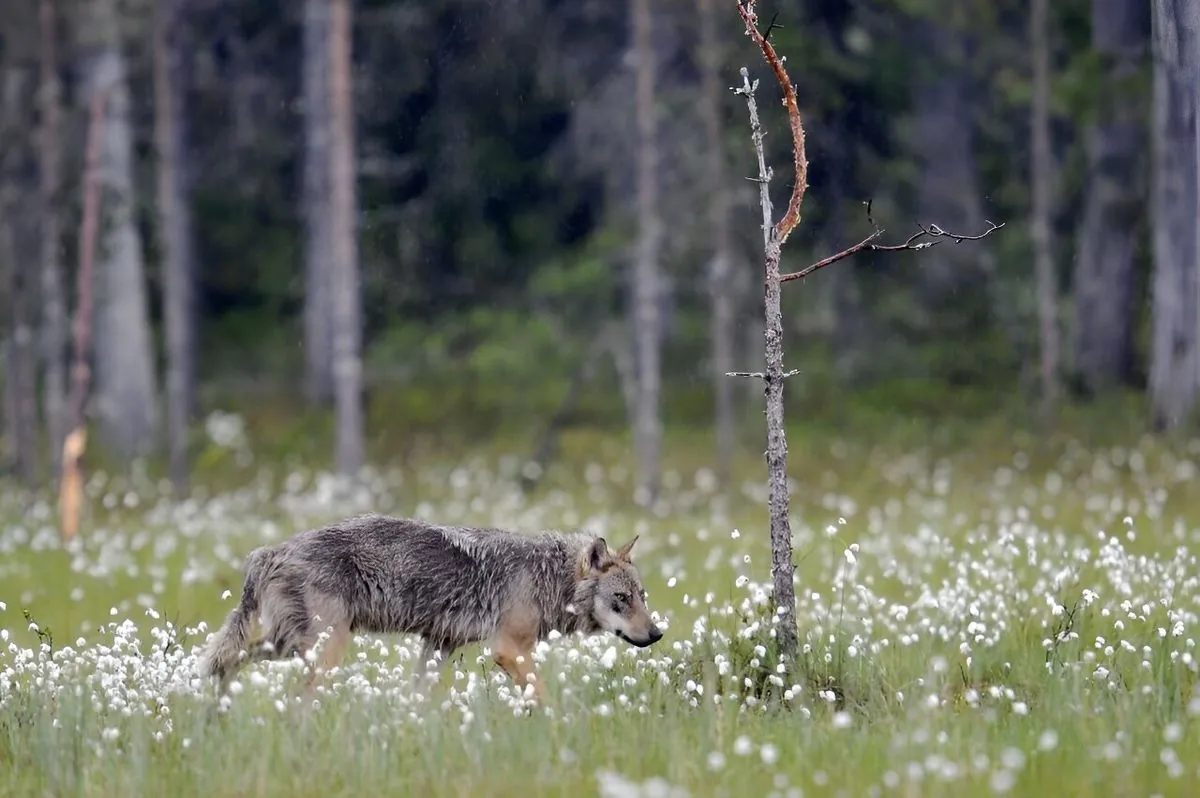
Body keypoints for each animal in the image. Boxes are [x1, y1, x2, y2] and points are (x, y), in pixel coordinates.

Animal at [196, 513, 667, 700]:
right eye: (621, 599)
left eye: (642, 597)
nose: (657, 633)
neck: (546, 574)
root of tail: (270, 552)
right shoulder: (508, 649)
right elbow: (545, 696)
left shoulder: (439, 644)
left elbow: (418, 698)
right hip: (326, 649)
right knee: (294, 697)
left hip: (286, 647)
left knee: (228, 662)